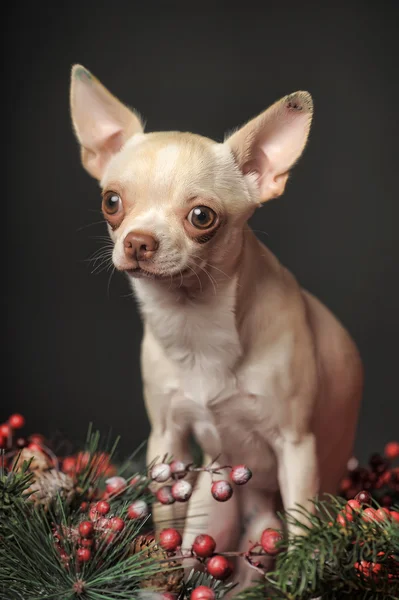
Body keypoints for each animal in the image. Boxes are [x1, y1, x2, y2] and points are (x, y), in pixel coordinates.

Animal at [70, 65, 364, 584]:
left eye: (201, 216)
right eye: (111, 202)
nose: (139, 241)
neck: (196, 325)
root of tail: (256, 510)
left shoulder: (297, 449)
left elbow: (305, 532)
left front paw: (300, 578)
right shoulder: (167, 440)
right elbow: (165, 517)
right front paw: (159, 574)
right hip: (214, 510)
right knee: (200, 549)